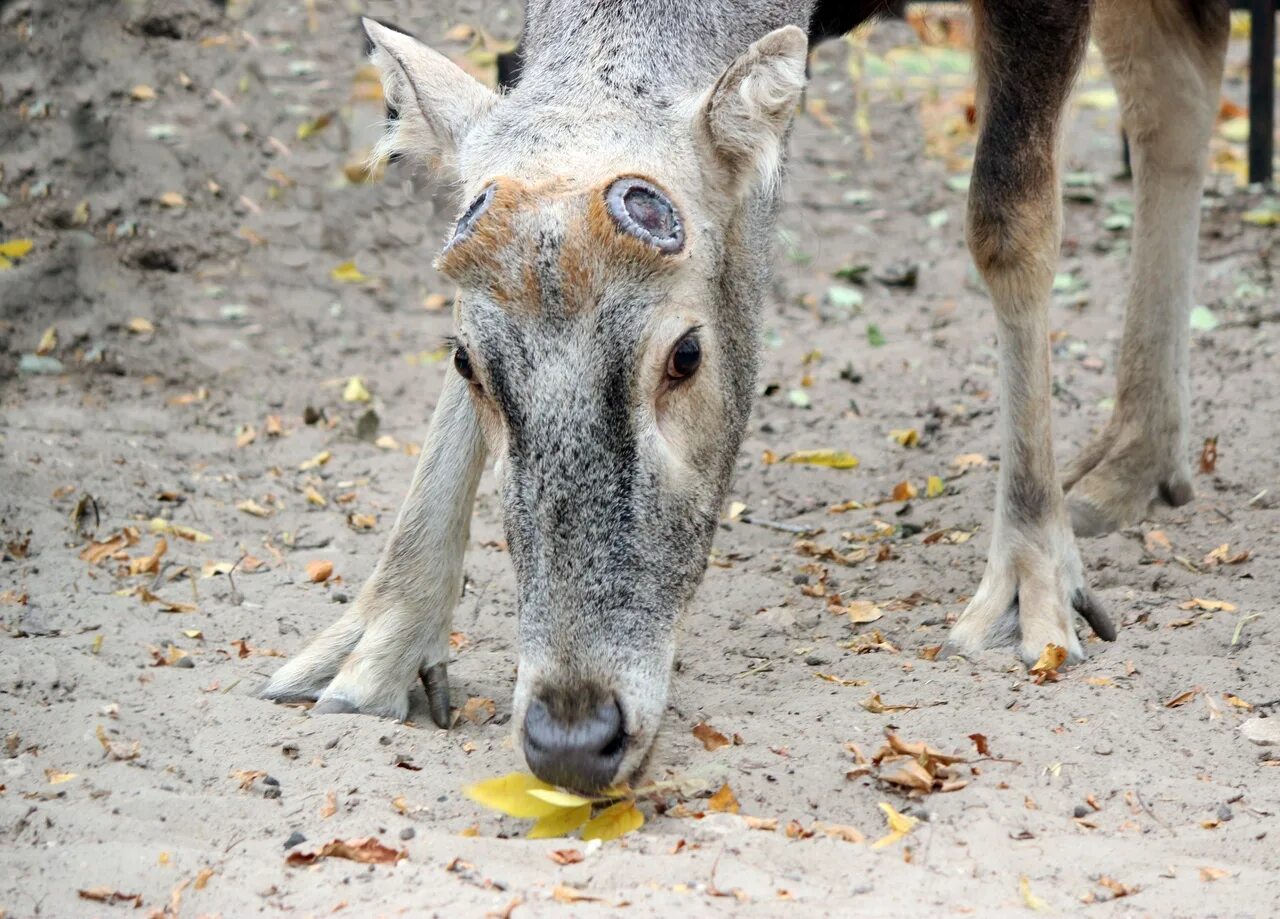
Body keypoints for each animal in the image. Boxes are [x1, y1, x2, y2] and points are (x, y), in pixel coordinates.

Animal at [259, 0, 1228, 793]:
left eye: (685, 352)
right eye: (466, 360)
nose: (574, 736)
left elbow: (1008, 218)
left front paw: (1034, 584)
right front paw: (368, 649)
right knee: (1174, 84)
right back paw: (1134, 460)